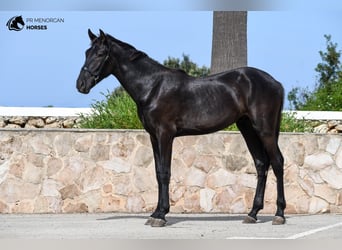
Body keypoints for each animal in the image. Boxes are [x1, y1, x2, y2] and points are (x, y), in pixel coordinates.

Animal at [77, 29, 286, 227]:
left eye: (100, 53)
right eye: (87, 52)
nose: (81, 84)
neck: (152, 87)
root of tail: (276, 83)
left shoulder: (165, 134)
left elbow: (165, 173)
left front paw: (161, 215)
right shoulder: (153, 136)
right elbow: (158, 172)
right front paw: (155, 213)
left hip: (264, 129)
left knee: (277, 162)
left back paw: (279, 214)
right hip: (247, 128)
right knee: (261, 163)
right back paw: (252, 213)